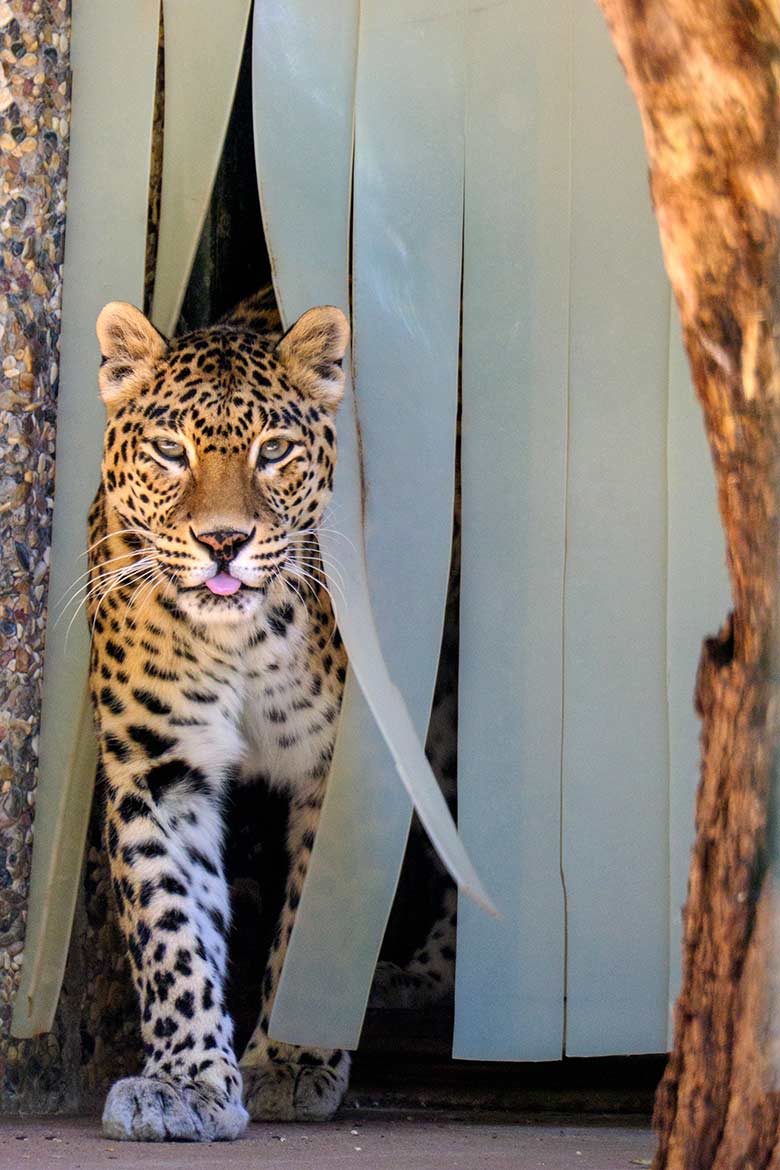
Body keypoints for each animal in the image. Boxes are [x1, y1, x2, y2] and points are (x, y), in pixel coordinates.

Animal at [87, 287, 353, 1137]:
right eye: (171, 451)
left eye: (275, 450)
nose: (225, 542)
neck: (241, 640)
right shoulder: (157, 768)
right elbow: (171, 929)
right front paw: (186, 1084)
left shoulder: (337, 770)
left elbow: (311, 920)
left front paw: (293, 1059)